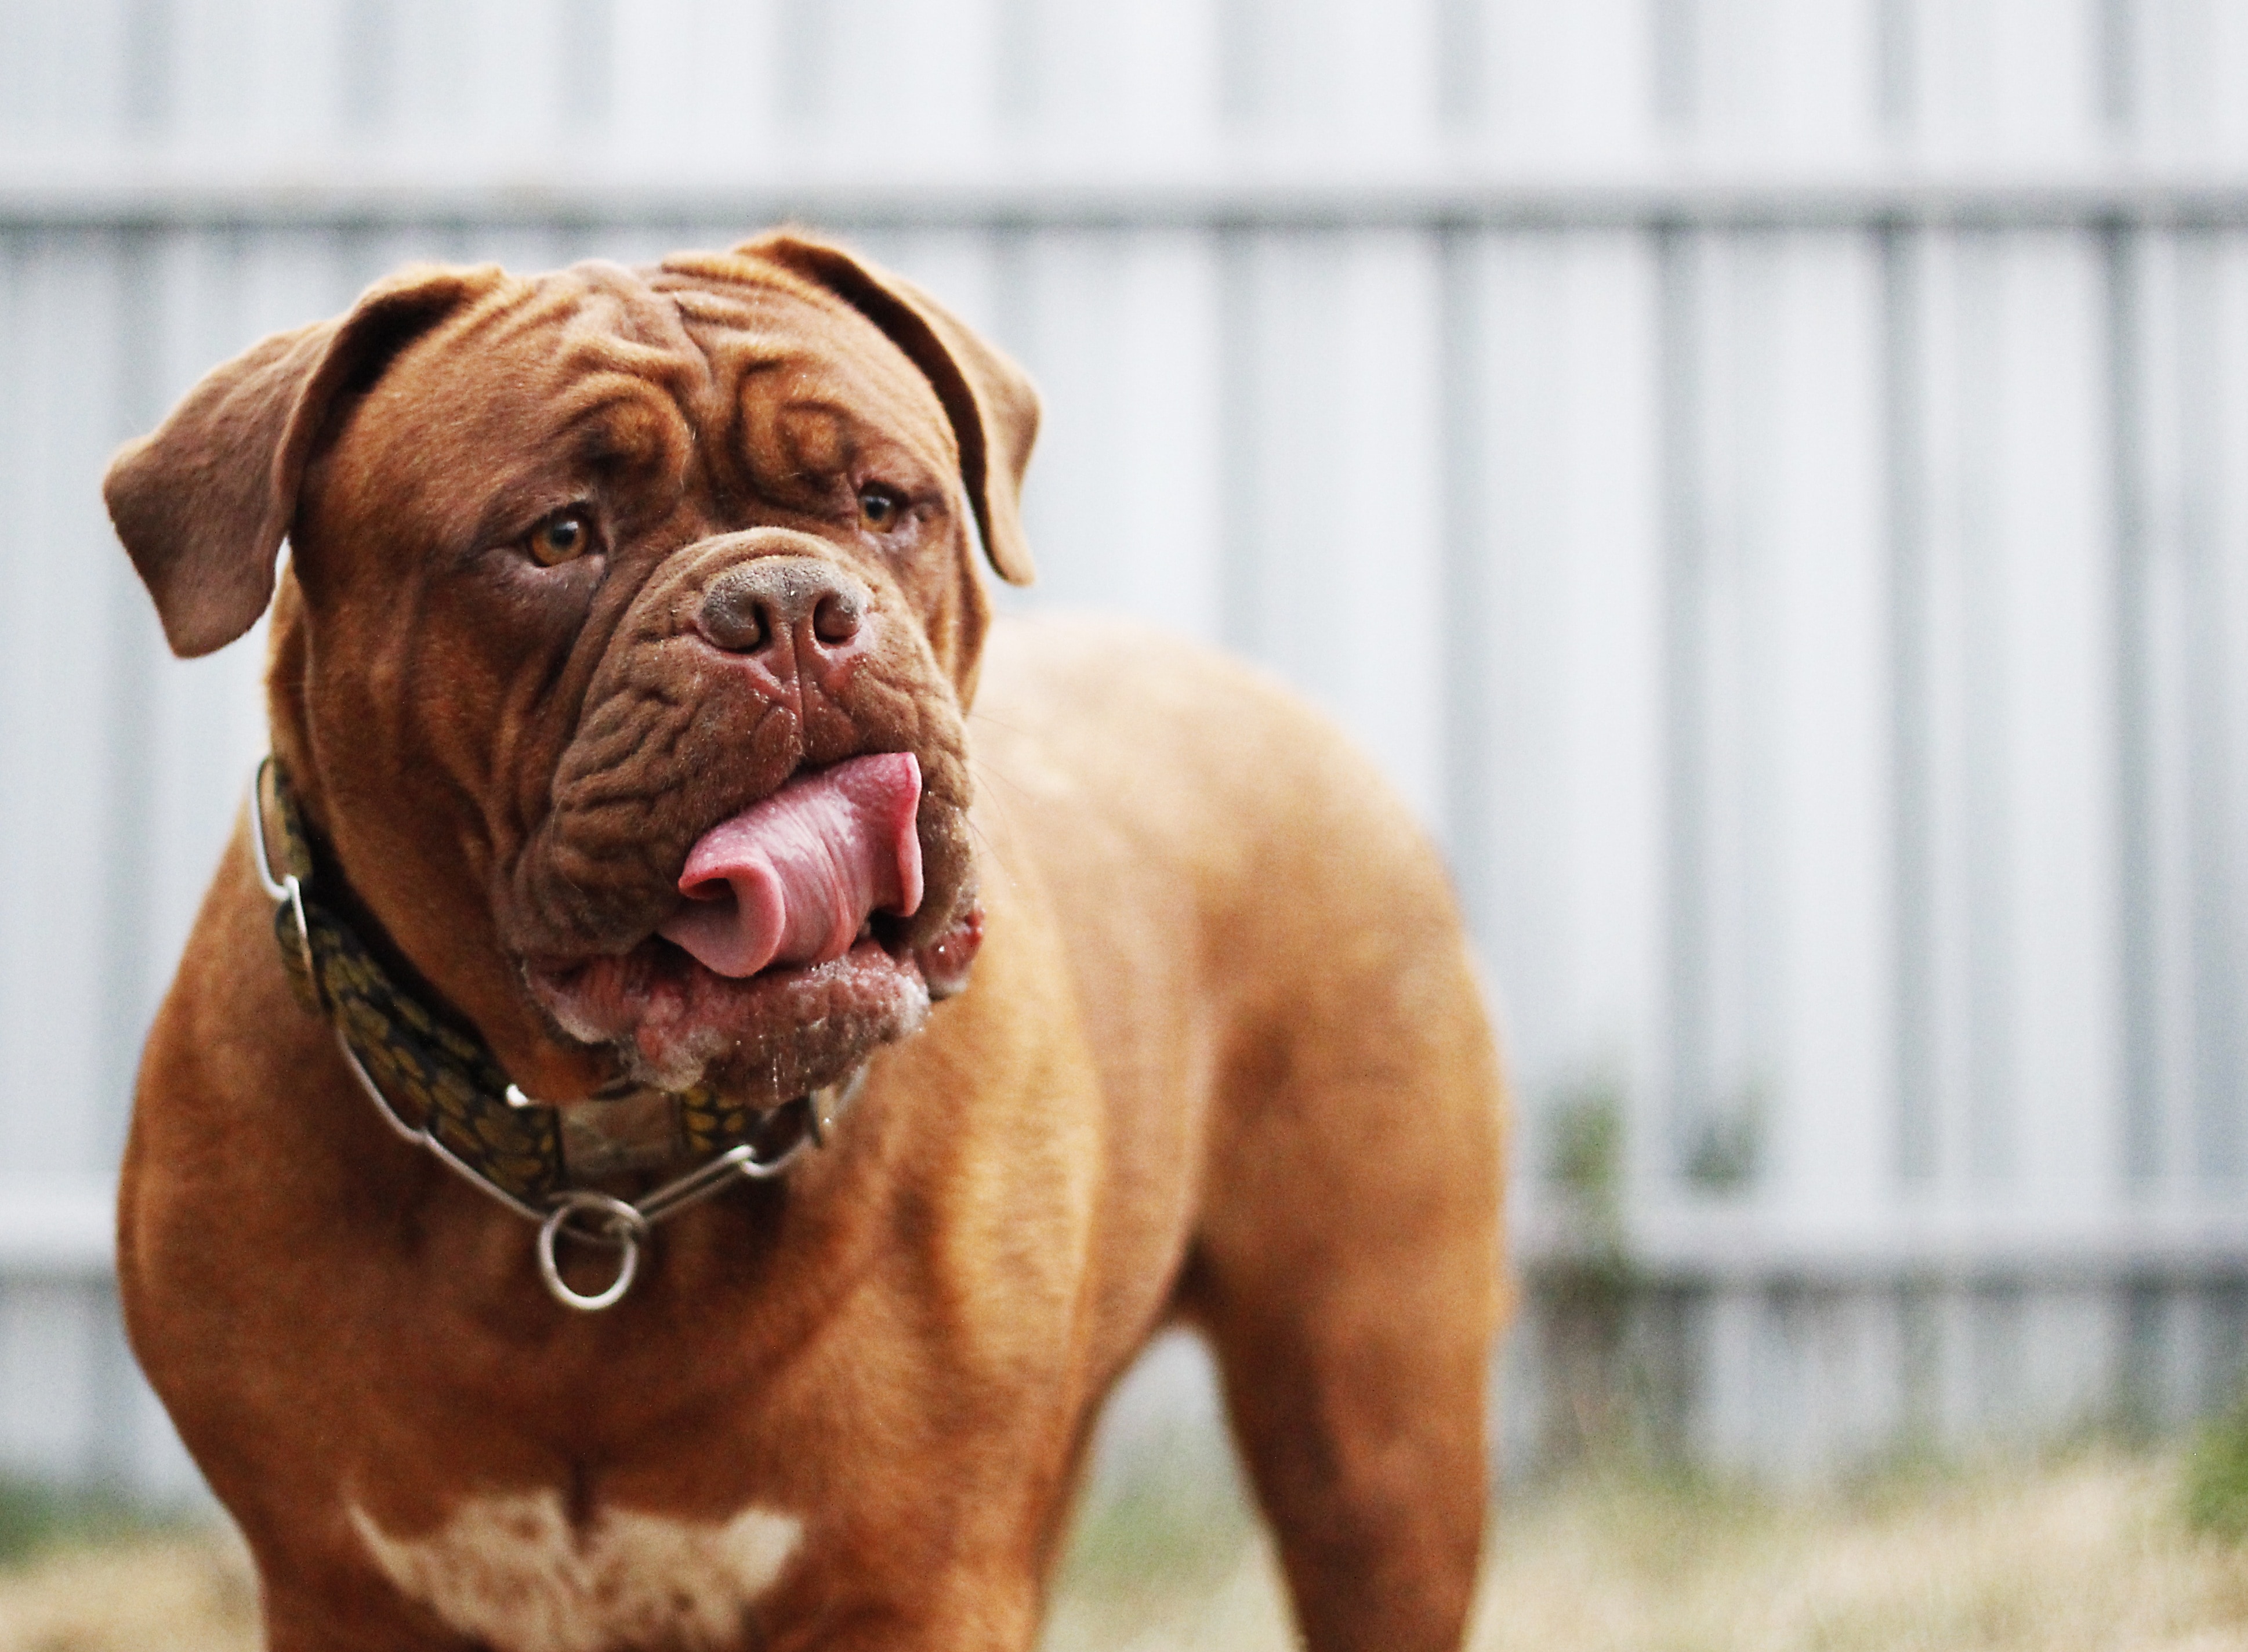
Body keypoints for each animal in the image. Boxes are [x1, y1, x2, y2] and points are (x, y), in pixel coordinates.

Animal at [106, 233, 1510, 1652]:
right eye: (558, 534)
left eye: (886, 505)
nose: (786, 602)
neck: (596, 1176)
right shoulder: (336, 1584)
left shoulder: (924, 1580)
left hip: (1374, 1428)